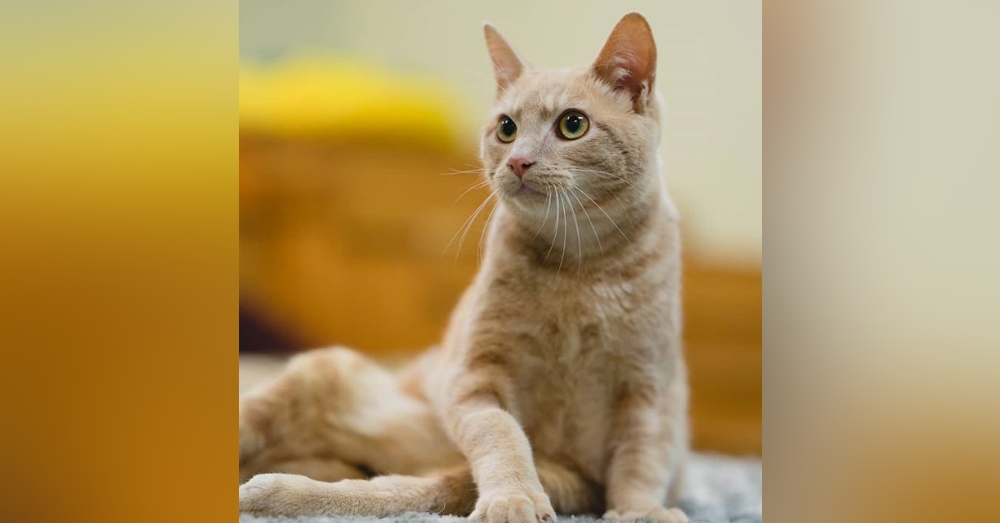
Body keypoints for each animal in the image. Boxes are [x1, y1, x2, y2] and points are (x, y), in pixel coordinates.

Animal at [237, 12, 688, 523]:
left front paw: (641, 510)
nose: (518, 161)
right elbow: (502, 436)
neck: (580, 264)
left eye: (572, 125)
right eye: (507, 128)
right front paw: (513, 497)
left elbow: (641, 460)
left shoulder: (648, 391)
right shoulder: (475, 380)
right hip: (331, 372)